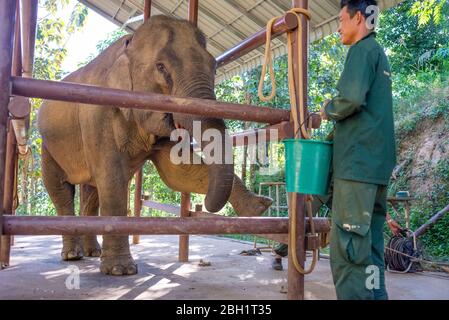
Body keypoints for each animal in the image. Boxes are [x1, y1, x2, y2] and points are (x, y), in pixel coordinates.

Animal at [37, 15, 270, 276]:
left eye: (214, 66)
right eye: (161, 67)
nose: (206, 207)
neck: (128, 44)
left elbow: (180, 172)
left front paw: (259, 207)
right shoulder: (98, 113)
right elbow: (112, 179)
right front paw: (121, 270)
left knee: (91, 192)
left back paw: (93, 253)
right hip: (48, 146)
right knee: (62, 190)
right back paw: (72, 256)